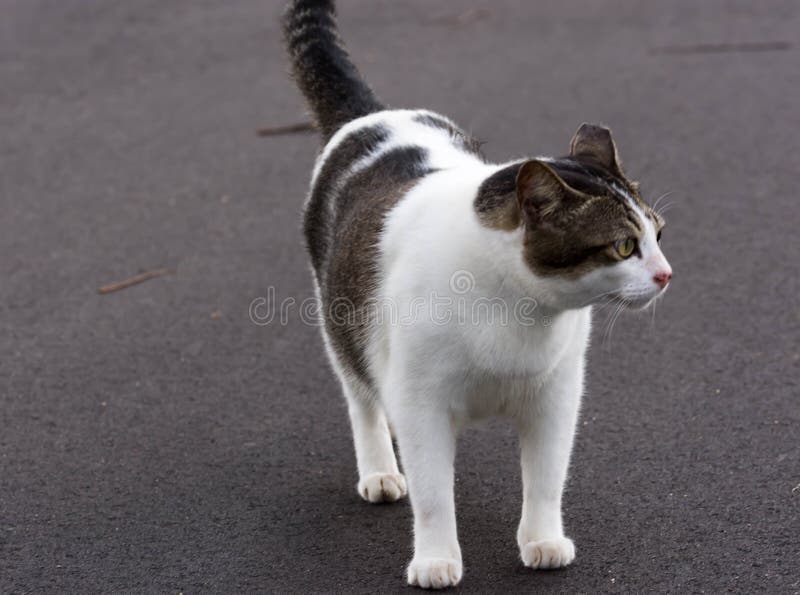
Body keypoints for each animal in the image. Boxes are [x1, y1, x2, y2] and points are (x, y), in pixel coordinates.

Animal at [284, 0, 672, 588]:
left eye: (659, 235)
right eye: (625, 245)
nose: (666, 274)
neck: (518, 310)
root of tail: (373, 117)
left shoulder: (556, 397)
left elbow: (546, 479)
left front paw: (542, 540)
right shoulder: (421, 403)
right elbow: (432, 495)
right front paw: (436, 558)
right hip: (342, 328)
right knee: (362, 400)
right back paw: (380, 469)